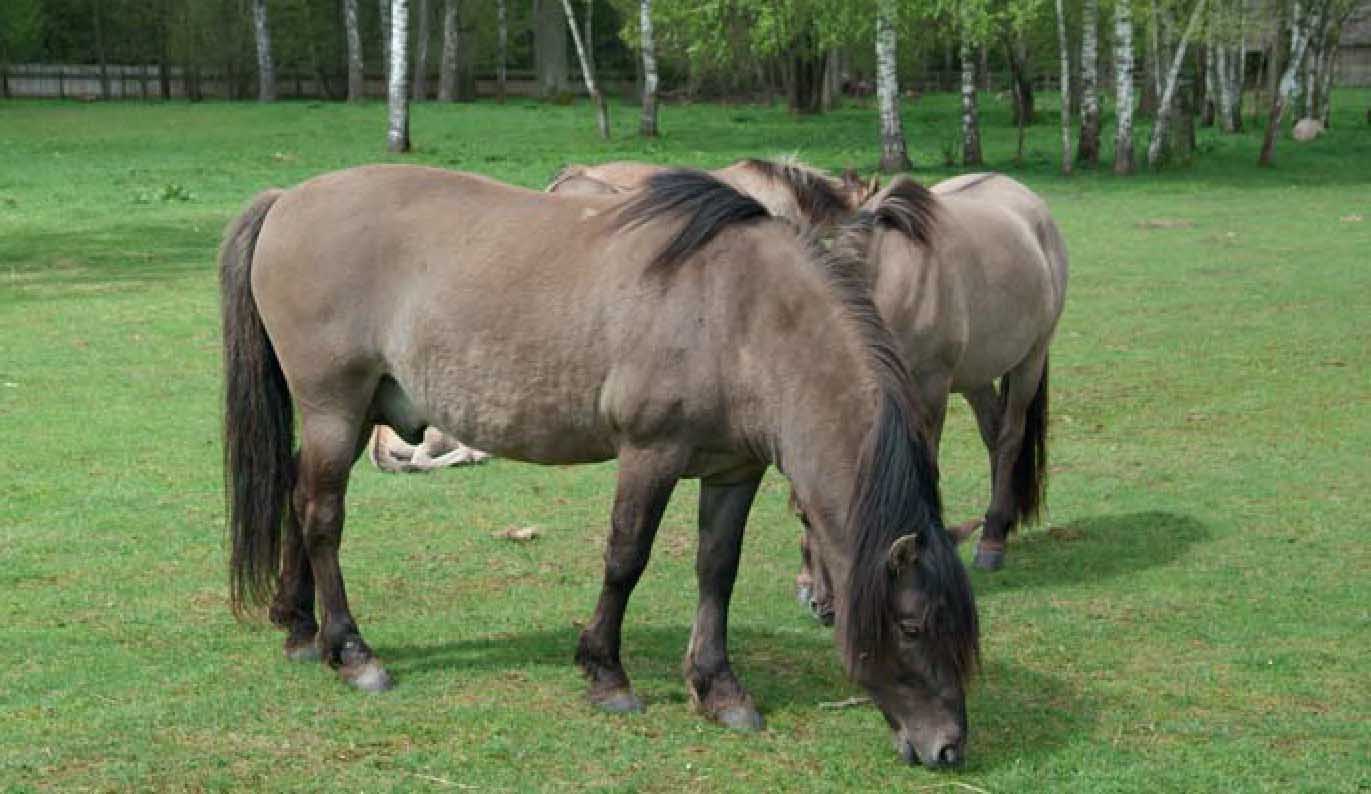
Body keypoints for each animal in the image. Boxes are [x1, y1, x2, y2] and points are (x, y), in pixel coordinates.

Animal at [222, 164, 976, 767]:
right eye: (912, 627)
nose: (947, 747)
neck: (744, 314)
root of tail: (288, 199)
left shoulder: (732, 472)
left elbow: (717, 570)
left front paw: (718, 689)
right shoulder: (650, 453)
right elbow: (625, 558)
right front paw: (605, 673)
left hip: (351, 417)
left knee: (297, 500)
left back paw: (298, 627)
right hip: (334, 407)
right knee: (322, 517)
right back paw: (352, 653)